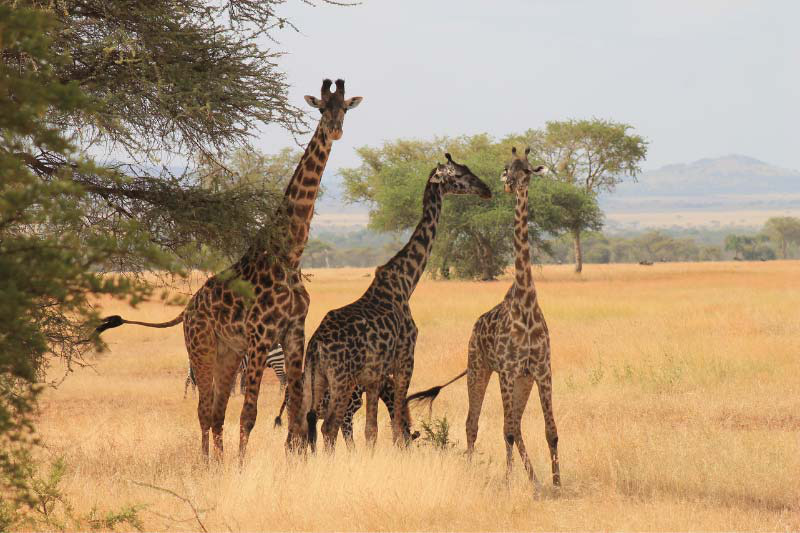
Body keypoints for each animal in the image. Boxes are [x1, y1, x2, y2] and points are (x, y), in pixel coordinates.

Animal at [93, 80, 362, 462]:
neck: (289, 256)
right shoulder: (261, 334)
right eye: (322, 108)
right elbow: (249, 413)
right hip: (201, 347)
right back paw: (208, 462)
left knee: (217, 410)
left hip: (228, 353)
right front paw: (242, 464)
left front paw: (292, 460)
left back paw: (217, 461)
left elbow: (296, 410)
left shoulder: (294, 332)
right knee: (205, 410)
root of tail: (187, 310)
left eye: (345, 108)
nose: (335, 130)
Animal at [304, 154, 490, 448]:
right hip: (341, 379)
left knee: (306, 426)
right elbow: (396, 427)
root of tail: (316, 346)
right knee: (329, 426)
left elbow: (372, 430)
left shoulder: (374, 376)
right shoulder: (404, 360)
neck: (405, 283)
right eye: (459, 175)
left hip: (317, 380)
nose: (487, 190)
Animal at [410, 145, 560, 486]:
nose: (509, 184)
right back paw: (476, 472)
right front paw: (509, 483)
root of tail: (474, 327)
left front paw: (558, 483)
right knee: (475, 423)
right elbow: (506, 431)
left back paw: (535, 481)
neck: (526, 304)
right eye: (507, 168)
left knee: (516, 424)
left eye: (527, 169)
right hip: (479, 367)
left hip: (521, 379)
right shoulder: (507, 370)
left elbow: (551, 431)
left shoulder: (541, 370)